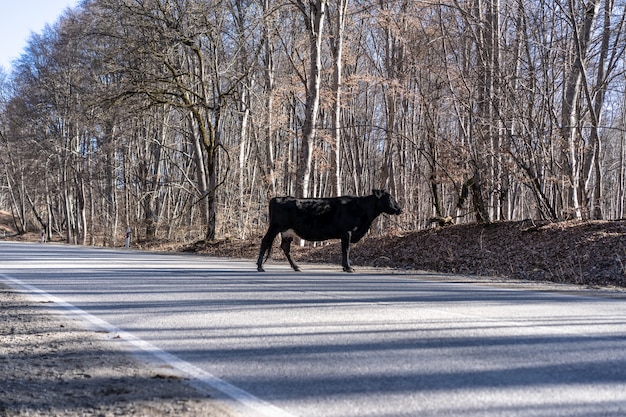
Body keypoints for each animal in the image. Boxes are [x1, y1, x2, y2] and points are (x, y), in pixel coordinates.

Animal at [256, 189, 402, 272]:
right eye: (389, 198)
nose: (400, 209)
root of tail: (278, 198)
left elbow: (345, 250)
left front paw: (346, 267)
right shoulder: (347, 232)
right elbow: (346, 249)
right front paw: (348, 268)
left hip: (287, 232)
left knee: (285, 247)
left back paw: (296, 267)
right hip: (275, 227)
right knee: (265, 242)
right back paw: (260, 267)